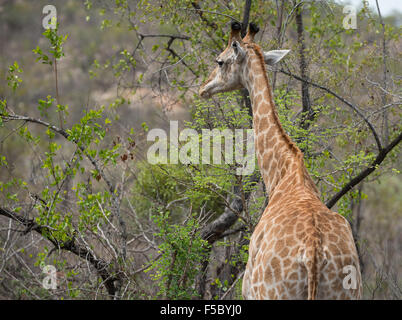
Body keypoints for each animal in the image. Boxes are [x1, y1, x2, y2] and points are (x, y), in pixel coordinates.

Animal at [199, 22, 362, 300]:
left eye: (219, 61)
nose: (203, 88)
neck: (283, 173)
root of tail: (313, 256)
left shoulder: (248, 291)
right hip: (350, 291)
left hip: (272, 293)